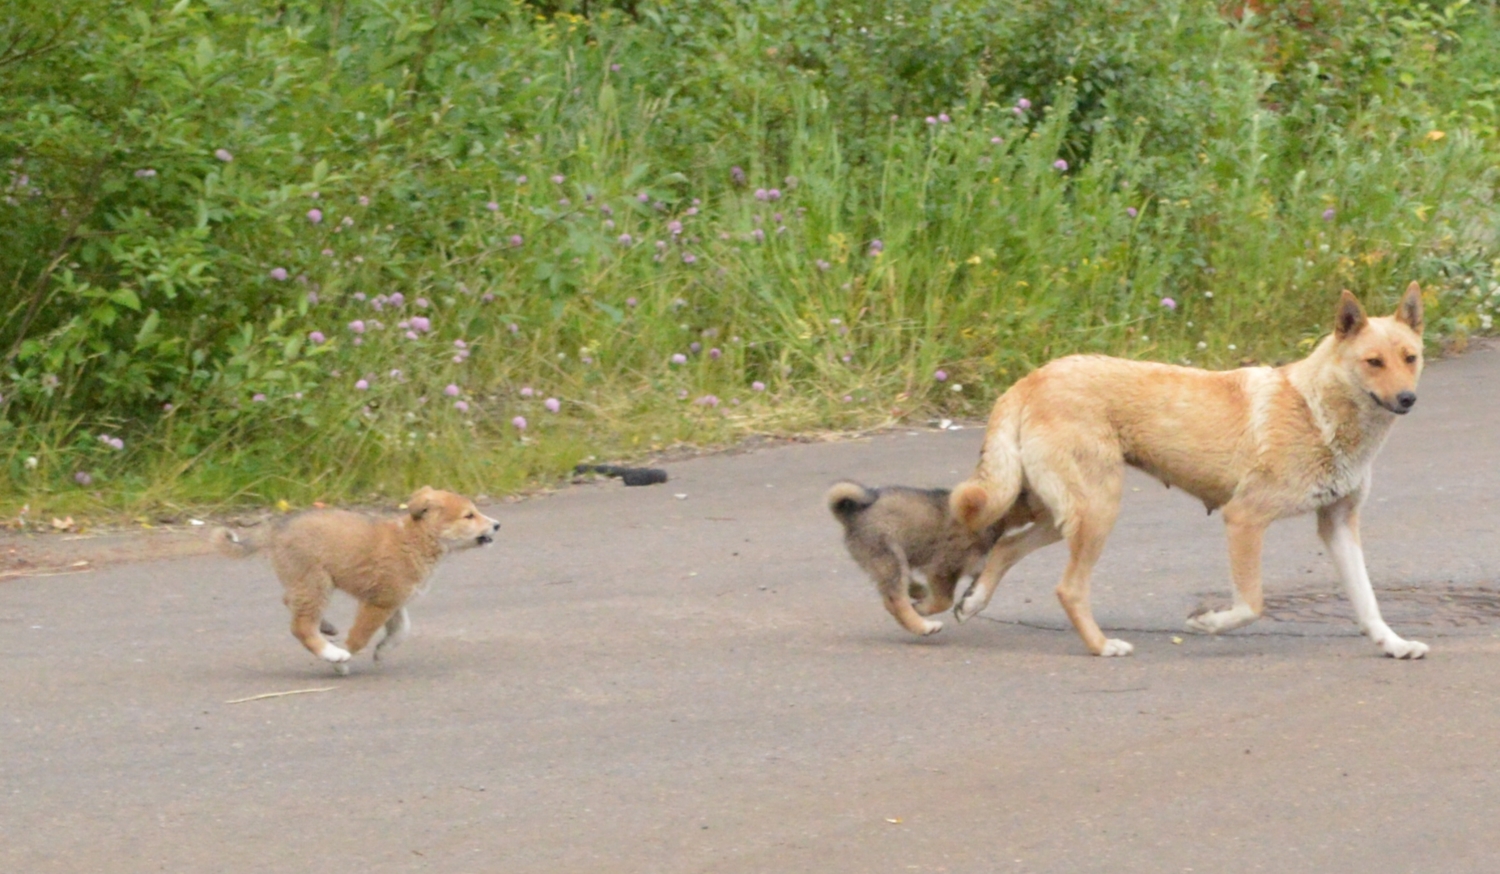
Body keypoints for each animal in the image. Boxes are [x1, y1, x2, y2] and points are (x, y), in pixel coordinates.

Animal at [214, 488, 501, 674]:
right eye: (469, 516)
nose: (498, 525)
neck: (415, 539)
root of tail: (276, 529)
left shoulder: (394, 601)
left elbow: (402, 630)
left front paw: (382, 650)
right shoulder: (378, 603)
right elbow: (360, 637)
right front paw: (343, 662)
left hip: (305, 582)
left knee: (290, 602)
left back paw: (327, 627)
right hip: (315, 582)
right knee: (301, 626)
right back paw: (332, 652)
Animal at [828, 485, 1014, 635]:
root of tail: (852, 515)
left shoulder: (975, 567)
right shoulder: (943, 568)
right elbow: (944, 601)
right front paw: (922, 608)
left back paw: (917, 590)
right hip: (890, 556)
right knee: (894, 602)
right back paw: (923, 626)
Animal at [948, 283, 1428, 659]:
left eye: (1410, 358)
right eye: (1373, 362)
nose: (1408, 399)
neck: (1317, 411)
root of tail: (1031, 379)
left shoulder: (1339, 523)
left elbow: (1367, 600)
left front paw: (1393, 644)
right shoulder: (1244, 519)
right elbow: (1250, 605)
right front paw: (1208, 622)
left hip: (1058, 514)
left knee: (1006, 547)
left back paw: (971, 604)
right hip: (1095, 510)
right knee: (1068, 588)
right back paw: (1102, 645)